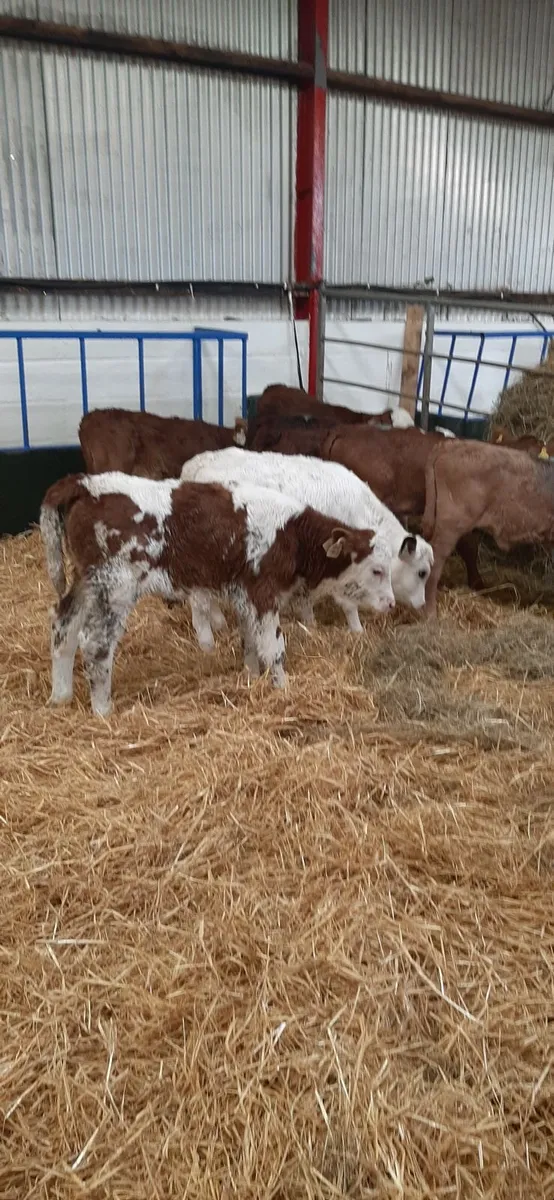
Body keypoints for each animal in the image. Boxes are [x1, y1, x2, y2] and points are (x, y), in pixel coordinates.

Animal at [40, 472, 394, 715]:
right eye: (377, 570)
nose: (391, 604)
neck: (291, 534)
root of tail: (85, 484)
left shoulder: (245, 595)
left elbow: (250, 642)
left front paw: (252, 678)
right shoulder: (263, 593)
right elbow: (274, 647)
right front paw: (283, 689)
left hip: (87, 581)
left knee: (63, 627)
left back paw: (60, 696)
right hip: (116, 586)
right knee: (95, 643)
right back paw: (102, 710)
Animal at [180, 447, 433, 641]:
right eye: (422, 573)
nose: (422, 604)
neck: (361, 512)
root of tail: (196, 465)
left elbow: (306, 596)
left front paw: (309, 622)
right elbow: (348, 604)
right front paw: (357, 629)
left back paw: (218, 621)